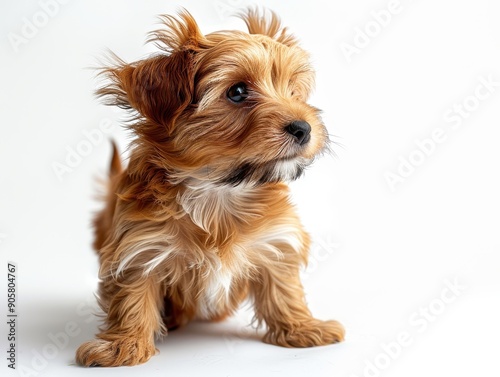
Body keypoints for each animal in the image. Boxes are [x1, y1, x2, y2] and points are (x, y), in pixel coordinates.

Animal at [76, 8, 344, 366]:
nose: (303, 128)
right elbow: (131, 298)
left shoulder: (276, 240)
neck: (218, 190)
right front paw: (124, 345)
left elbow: (283, 289)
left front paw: (302, 328)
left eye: (292, 91)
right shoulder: (138, 246)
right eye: (238, 92)